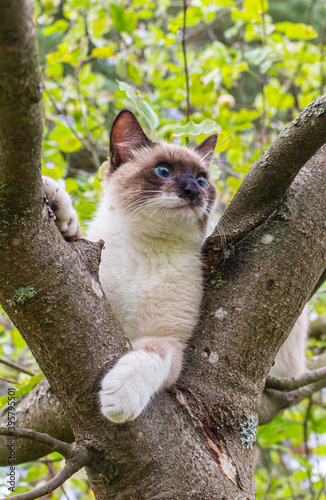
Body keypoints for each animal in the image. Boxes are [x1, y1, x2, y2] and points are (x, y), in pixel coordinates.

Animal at [44, 108, 308, 422]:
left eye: (201, 180)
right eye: (164, 172)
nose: (193, 190)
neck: (147, 247)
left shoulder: (169, 338)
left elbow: (153, 353)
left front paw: (120, 397)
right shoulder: (89, 271)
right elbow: (74, 235)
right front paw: (53, 200)